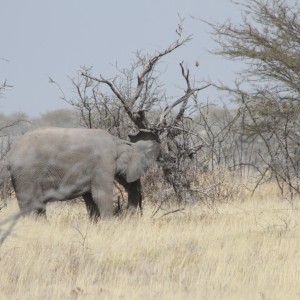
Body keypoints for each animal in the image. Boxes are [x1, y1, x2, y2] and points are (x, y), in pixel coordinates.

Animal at [5, 127, 161, 220]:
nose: (130, 216)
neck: (119, 142)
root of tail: (11, 152)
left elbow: (90, 199)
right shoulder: (103, 163)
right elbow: (100, 195)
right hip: (26, 174)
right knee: (30, 204)